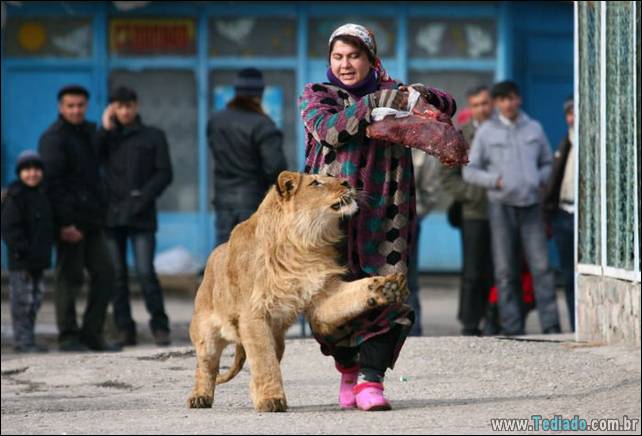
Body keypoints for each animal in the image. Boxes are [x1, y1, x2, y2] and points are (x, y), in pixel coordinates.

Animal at [186, 170, 404, 412]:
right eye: (316, 183)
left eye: (331, 176)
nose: (347, 182)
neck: (303, 244)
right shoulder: (253, 315)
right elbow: (264, 360)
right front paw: (271, 400)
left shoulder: (321, 295)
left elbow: (351, 295)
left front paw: (385, 287)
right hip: (206, 333)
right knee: (206, 366)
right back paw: (200, 397)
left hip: (278, 340)